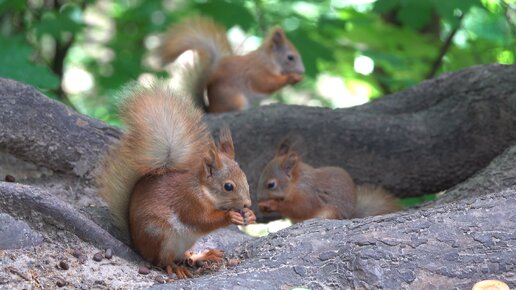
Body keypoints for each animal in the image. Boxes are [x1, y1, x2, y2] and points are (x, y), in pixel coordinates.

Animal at [95, 82, 256, 278]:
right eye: (228, 186)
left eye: (245, 178)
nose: (247, 204)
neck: (202, 189)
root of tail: (138, 246)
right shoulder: (188, 201)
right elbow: (201, 220)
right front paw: (230, 216)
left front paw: (250, 215)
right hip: (159, 236)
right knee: (163, 260)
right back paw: (177, 268)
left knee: (182, 255)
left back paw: (201, 256)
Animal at [159, 15, 304, 113]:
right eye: (290, 57)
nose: (302, 71)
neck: (268, 60)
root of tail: (211, 110)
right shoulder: (256, 71)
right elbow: (265, 84)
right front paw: (291, 78)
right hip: (235, 98)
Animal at [258, 136, 404, 222]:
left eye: (271, 185)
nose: (259, 198)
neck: (297, 183)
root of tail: (350, 216)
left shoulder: (307, 195)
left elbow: (300, 208)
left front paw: (272, 204)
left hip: (331, 213)